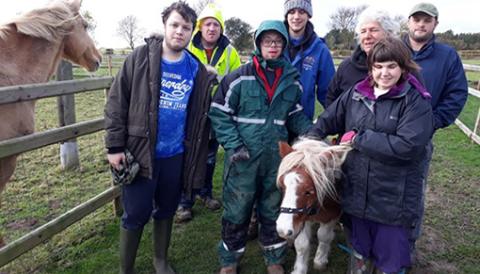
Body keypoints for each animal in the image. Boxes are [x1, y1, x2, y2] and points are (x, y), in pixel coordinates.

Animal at [276, 139, 350, 274]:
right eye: (283, 186)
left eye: (308, 191)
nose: (282, 229)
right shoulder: (302, 217)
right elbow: (301, 244)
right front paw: (299, 269)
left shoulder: (331, 216)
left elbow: (324, 236)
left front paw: (320, 260)